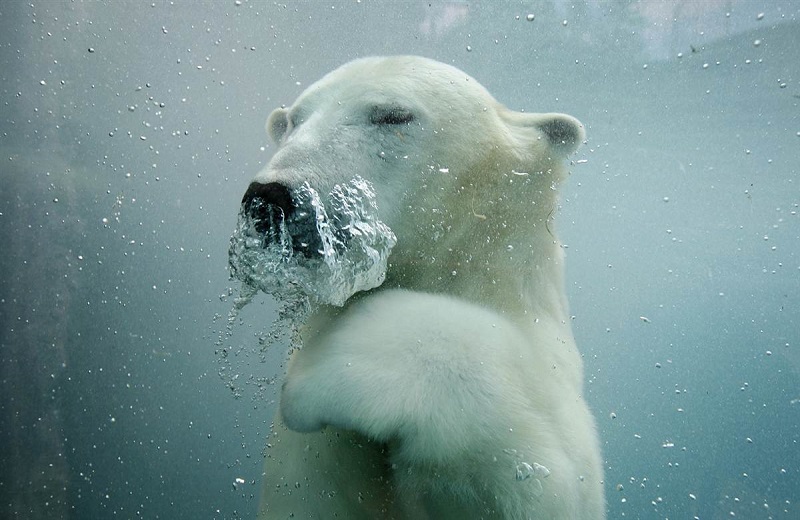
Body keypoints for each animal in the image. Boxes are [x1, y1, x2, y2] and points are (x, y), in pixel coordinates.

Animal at [234, 54, 604, 516]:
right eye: (292, 121)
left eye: (393, 115)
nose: (270, 198)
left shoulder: (548, 357)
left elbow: (552, 477)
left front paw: (326, 370)